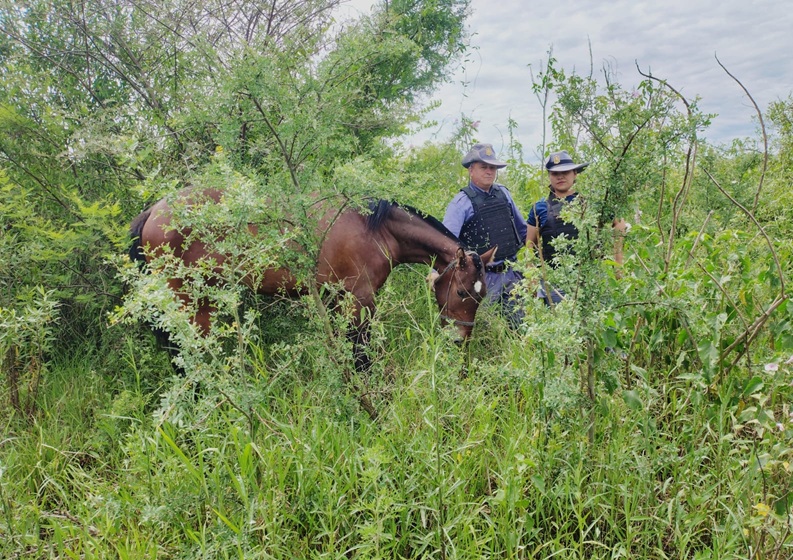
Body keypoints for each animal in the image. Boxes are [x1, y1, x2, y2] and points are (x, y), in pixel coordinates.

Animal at [128, 187, 496, 375]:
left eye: (481, 296)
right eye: (462, 291)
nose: (460, 340)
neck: (376, 229)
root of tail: (154, 211)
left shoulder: (335, 298)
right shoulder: (359, 299)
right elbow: (362, 353)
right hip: (189, 302)